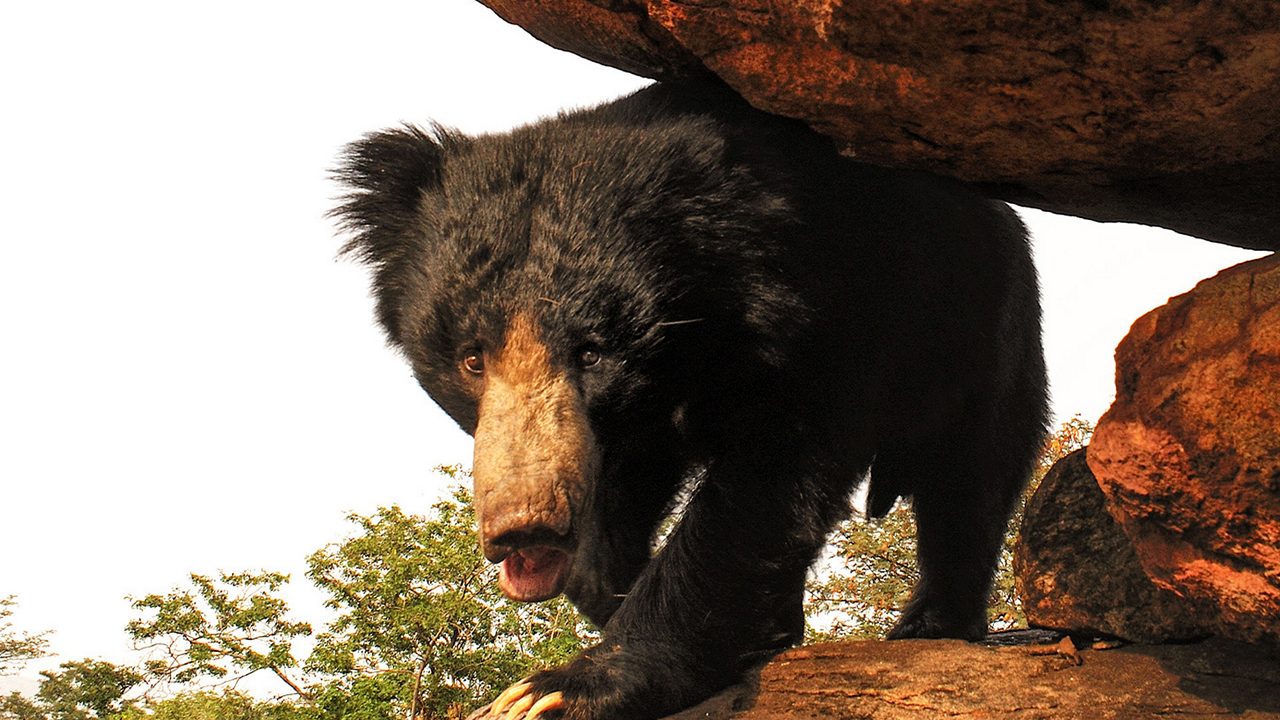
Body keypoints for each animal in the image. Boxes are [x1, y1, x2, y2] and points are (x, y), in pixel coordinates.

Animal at [332, 79, 1049, 717]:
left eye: (591, 353)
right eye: (472, 358)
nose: (523, 530)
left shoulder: (825, 320)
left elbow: (767, 485)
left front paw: (553, 692)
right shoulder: (626, 429)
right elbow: (622, 493)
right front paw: (610, 588)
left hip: (982, 327)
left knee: (974, 474)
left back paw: (931, 622)